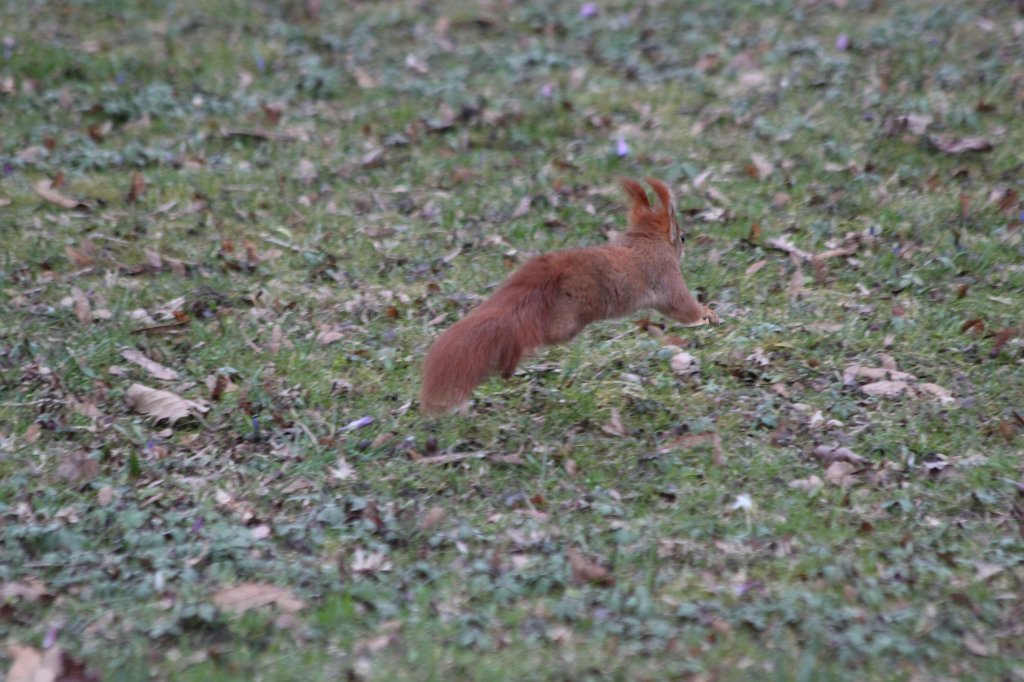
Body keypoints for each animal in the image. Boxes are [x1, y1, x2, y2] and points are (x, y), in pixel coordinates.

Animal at [420, 177, 720, 415]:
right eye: (682, 237)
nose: (686, 244)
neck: (644, 240)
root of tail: (553, 272)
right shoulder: (667, 275)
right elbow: (682, 307)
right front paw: (707, 314)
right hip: (566, 320)